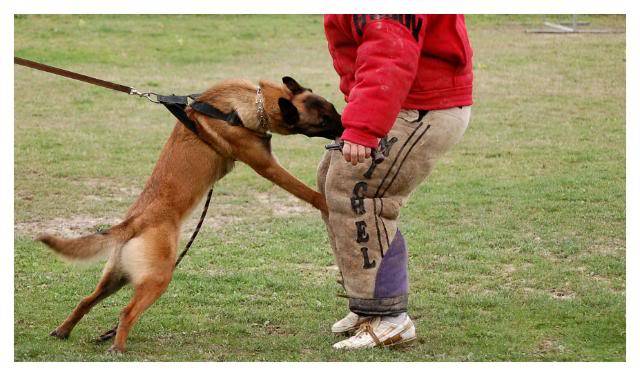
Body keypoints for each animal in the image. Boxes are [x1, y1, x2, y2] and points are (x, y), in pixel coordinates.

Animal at [37, 76, 342, 352]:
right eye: (324, 121)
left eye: (334, 110)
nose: (345, 129)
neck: (251, 104)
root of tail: (134, 222)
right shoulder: (266, 165)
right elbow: (304, 190)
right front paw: (325, 202)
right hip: (158, 277)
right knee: (126, 312)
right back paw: (118, 348)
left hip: (116, 278)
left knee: (85, 300)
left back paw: (63, 331)